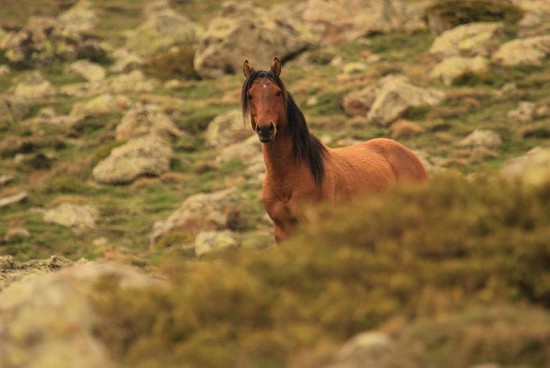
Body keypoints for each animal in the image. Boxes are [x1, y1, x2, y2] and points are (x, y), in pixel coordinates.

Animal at [243, 56, 432, 242]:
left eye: (278, 93)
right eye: (250, 95)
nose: (265, 128)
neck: (288, 176)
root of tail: (410, 154)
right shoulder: (283, 233)